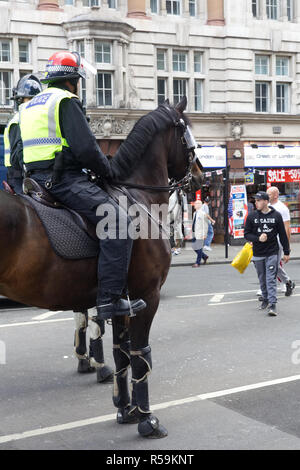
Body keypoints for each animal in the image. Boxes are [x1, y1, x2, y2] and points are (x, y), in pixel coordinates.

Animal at [0, 97, 203, 438]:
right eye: (188, 132)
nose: (202, 176)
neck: (138, 196)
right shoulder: (147, 295)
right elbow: (140, 354)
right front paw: (147, 419)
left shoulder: (120, 298)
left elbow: (121, 351)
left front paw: (125, 408)